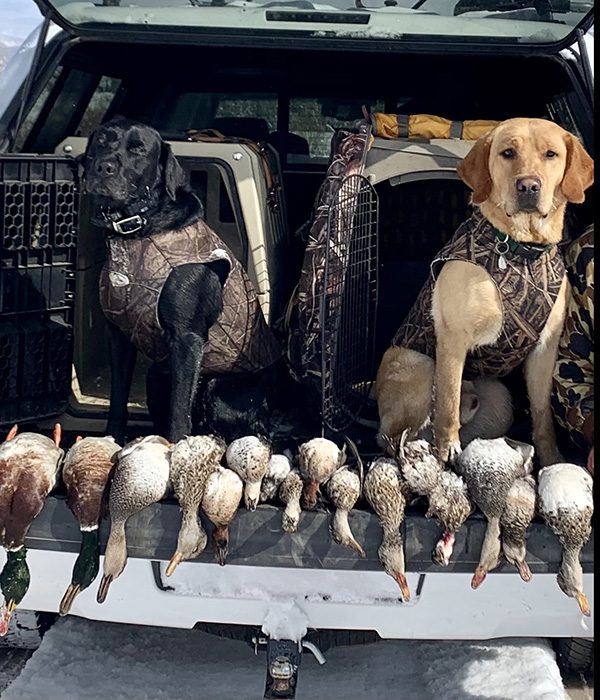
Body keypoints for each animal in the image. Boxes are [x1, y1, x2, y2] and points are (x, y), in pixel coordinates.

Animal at [80, 116, 284, 442]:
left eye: (139, 149)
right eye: (101, 140)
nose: (103, 167)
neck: (138, 231)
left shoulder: (187, 339)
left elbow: (179, 411)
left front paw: (175, 448)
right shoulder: (120, 333)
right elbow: (117, 398)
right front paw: (112, 439)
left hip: (217, 387)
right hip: (156, 375)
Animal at [378, 117, 592, 468]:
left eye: (551, 154)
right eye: (507, 153)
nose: (528, 186)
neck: (520, 252)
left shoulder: (545, 349)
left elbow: (543, 413)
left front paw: (551, 457)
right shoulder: (453, 338)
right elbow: (447, 404)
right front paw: (446, 449)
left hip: (500, 400)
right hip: (421, 367)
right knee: (395, 434)